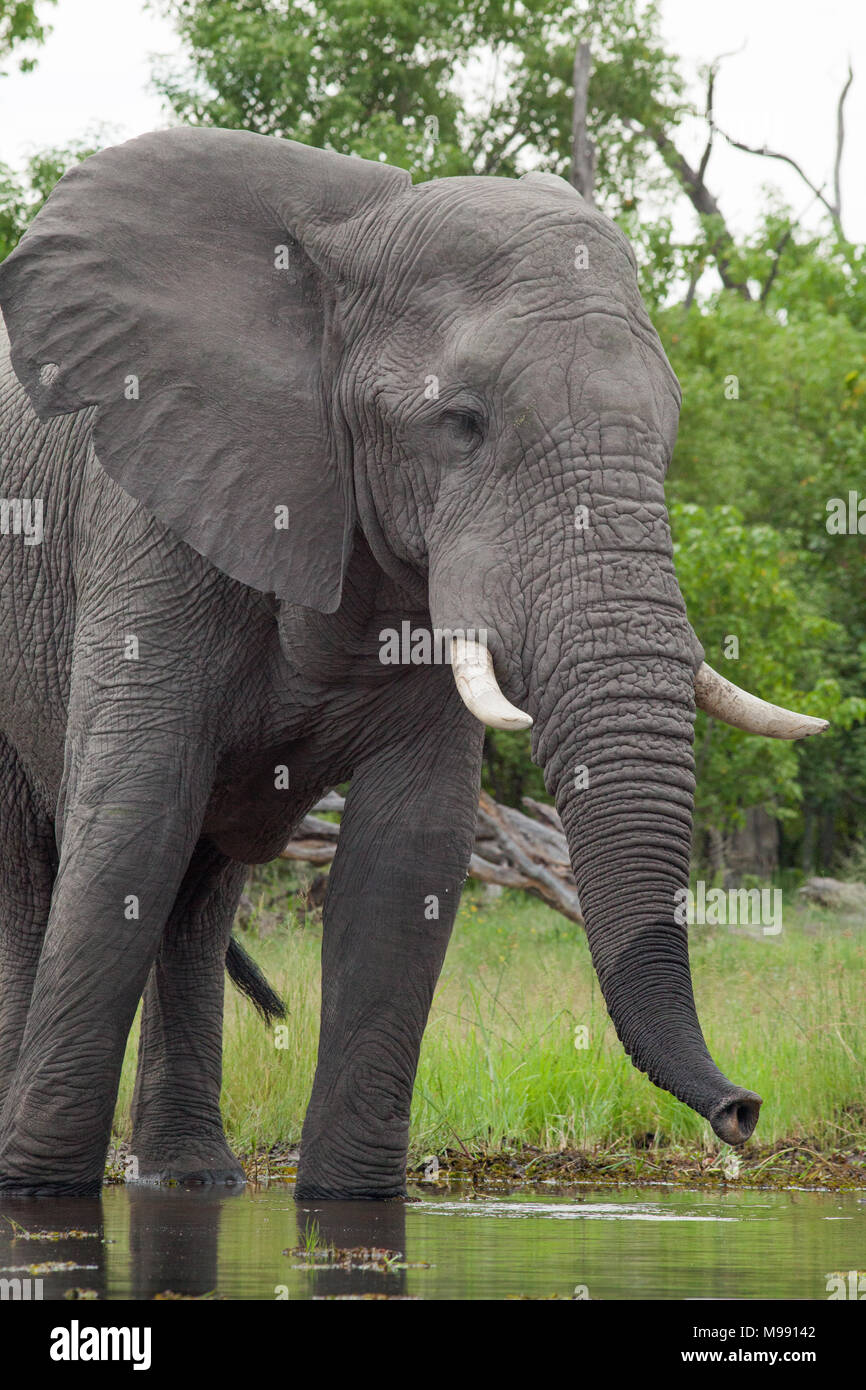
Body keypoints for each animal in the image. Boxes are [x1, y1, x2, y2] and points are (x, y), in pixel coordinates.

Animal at [0, 125, 828, 1200]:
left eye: (674, 424)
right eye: (461, 422)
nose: (741, 1111)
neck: (347, 241)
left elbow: (405, 865)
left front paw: (347, 1202)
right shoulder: (151, 527)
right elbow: (127, 830)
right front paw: (39, 1195)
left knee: (200, 885)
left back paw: (193, 1181)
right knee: (43, 873)